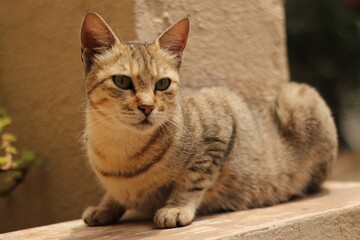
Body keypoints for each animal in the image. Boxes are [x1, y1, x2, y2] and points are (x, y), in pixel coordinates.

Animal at [79, 11, 338, 229]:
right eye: (122, 81)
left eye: (162, 84)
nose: (147, 107)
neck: (120, 149)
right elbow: (114, 195)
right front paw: (104, 207)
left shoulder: (220, 127)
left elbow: (192, 180)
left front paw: (175, 208)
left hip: (300, 101)